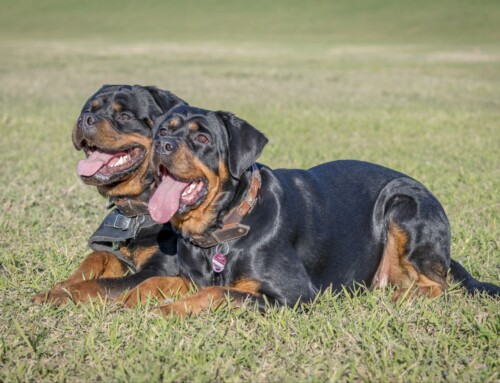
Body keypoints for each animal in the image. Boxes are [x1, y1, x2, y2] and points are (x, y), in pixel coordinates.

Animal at [33, 85, 187, 306]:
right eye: (89, 109)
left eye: (125, 116)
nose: (85, 118)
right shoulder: (121, 256)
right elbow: (96, 257)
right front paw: (63, 284)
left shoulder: (161, 268)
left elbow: (101, 284)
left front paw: (60, 294)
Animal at [122, 103, 500, 316]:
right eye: (162, 130)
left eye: (201, 139)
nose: (161, 144)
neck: (224, 229)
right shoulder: (189, 276)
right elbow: (158, 280)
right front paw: (130, 298)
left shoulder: (294, 295)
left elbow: (218, 291)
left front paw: (170, 309)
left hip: (403, 204)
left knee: (438, 285)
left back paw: (401, 298)